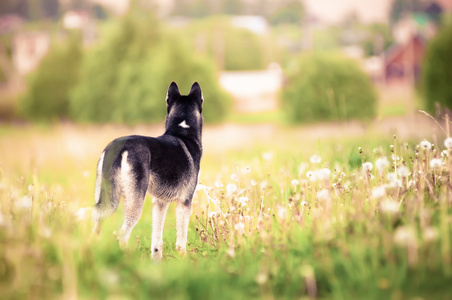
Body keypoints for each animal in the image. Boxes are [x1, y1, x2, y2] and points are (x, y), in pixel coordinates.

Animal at [92, 82, 203, 260]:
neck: (183, 129)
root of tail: (119, 146)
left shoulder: (160, 203)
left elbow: (156, 240)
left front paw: (156, 261)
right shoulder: (185, 202)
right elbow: (181, 239)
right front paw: (184, 259)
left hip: (106, 200)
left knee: (95, 229)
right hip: (134, 202)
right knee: (122, 233)